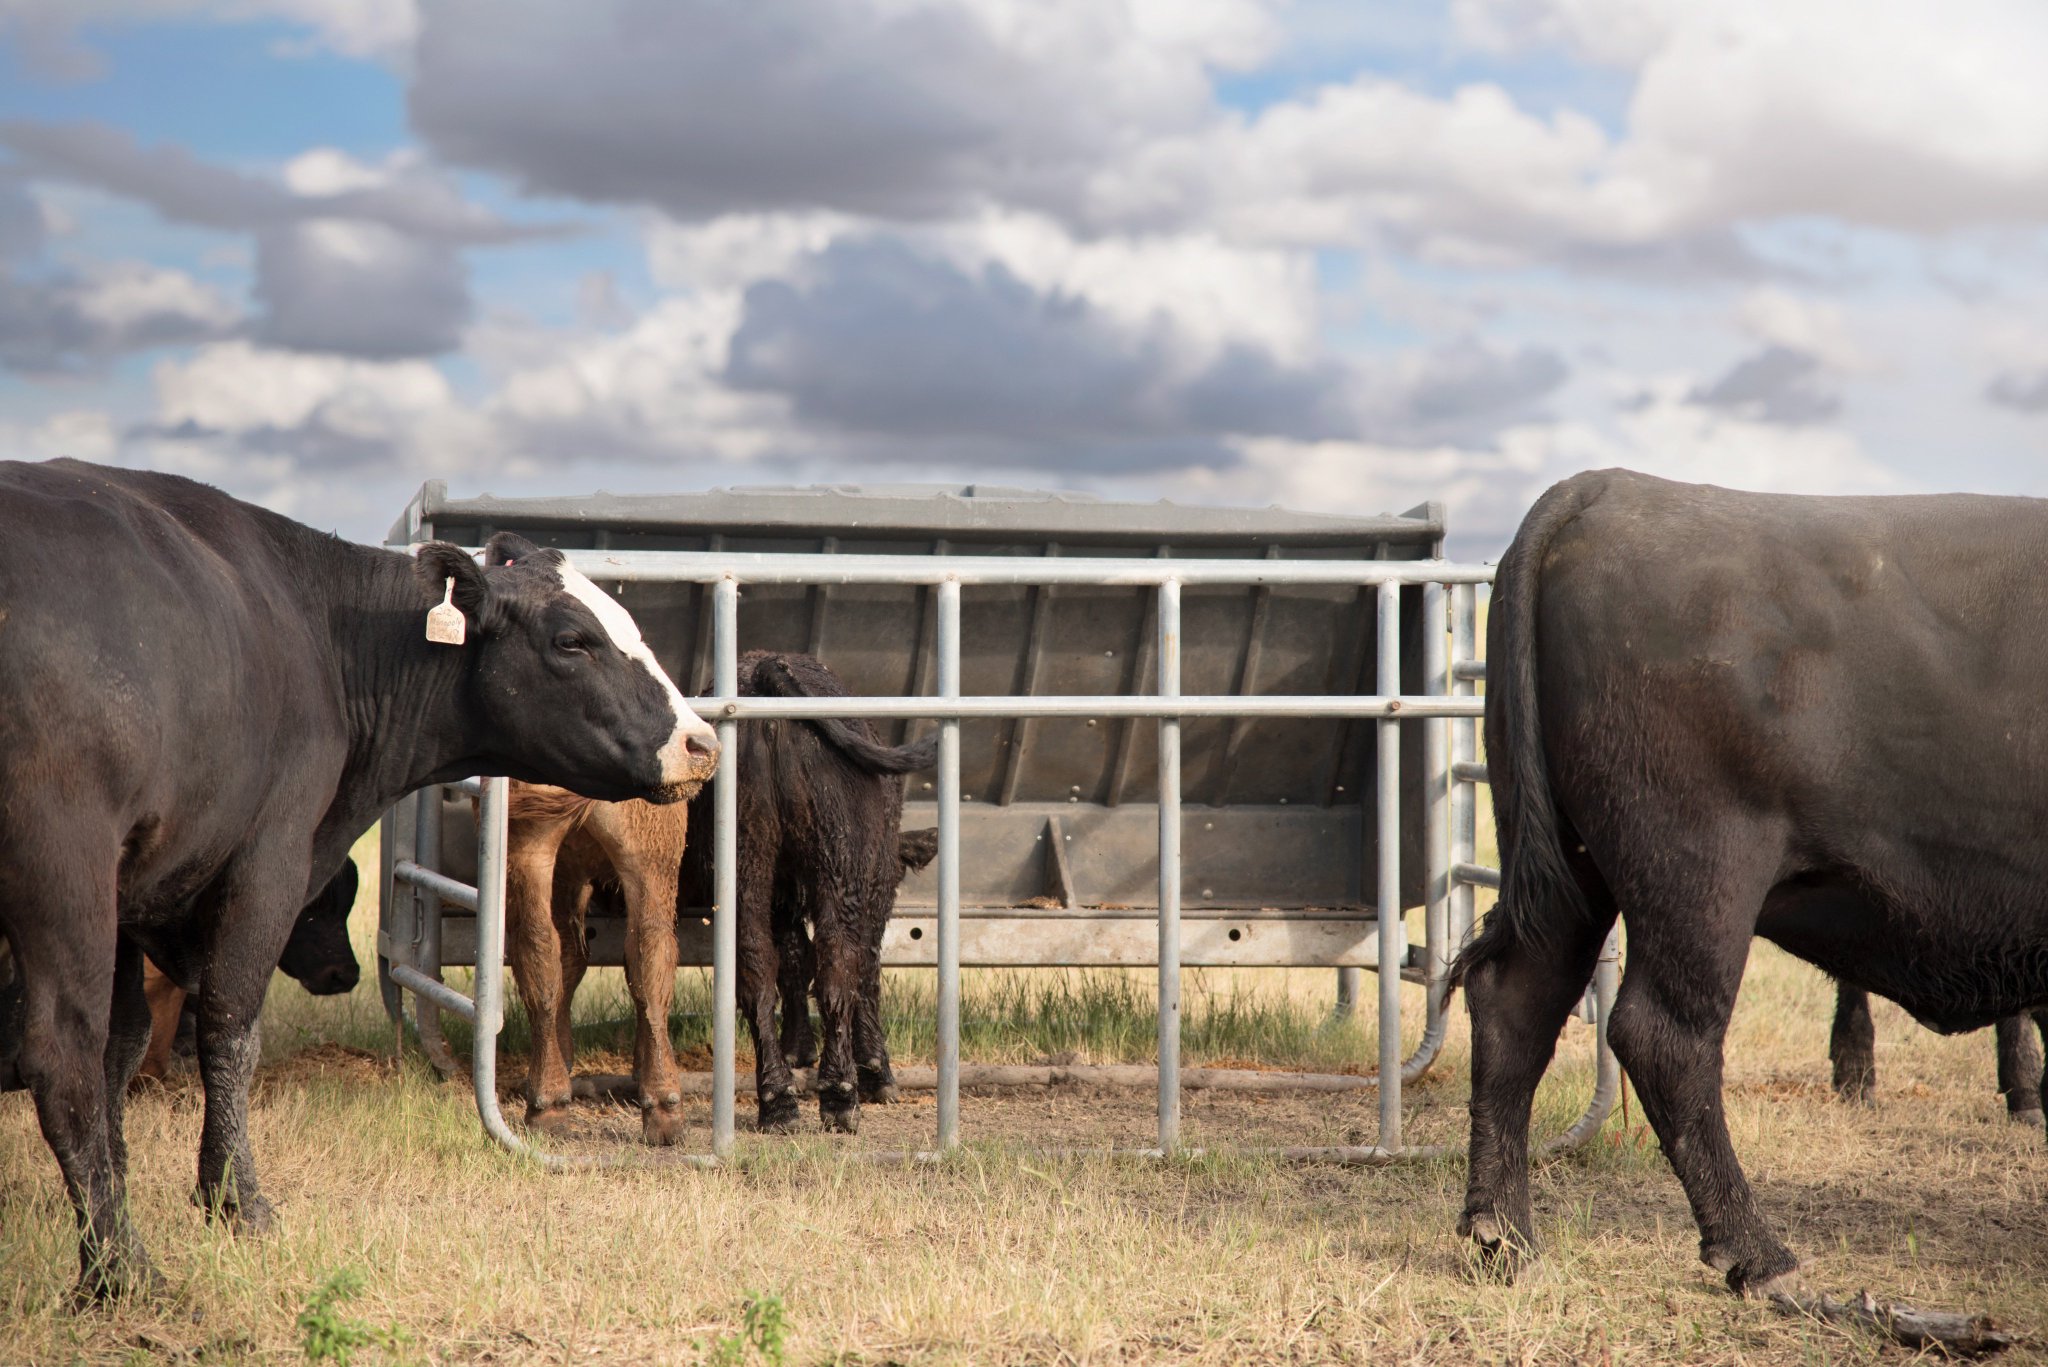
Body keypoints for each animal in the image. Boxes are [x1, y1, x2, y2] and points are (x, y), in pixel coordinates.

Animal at [0, 459, 720, 1303]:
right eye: (572, 639)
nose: (701, 741)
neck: (320, 632)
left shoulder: (136, 898)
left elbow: (125, 1045)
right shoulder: (268, 860)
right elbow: (226, 1028)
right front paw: (235, 1202)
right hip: (61, 870)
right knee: (60, 1056)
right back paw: (122, 1271)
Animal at [688, 651, 942, 1131]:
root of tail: (765, 670)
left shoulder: (780, 899)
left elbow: (792, 960)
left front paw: (798, 1048)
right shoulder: (873, 886)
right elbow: (864, 971)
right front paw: (876, 1069)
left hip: (746, 866)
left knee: (756, 971)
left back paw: (778, 1100)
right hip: (842, 866)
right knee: (838, 967)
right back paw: (841, 1096)